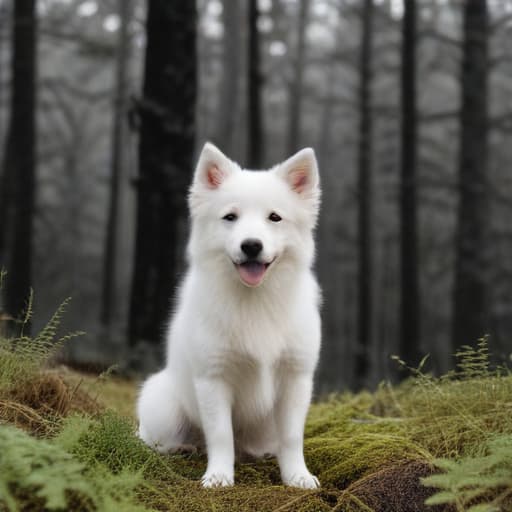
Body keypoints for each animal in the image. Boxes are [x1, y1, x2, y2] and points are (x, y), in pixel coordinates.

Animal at [136, 143, 320, 488]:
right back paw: (182, 447)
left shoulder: (295, 378)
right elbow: (220, 435)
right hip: (164, 407)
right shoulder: (214, 378)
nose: (251, 246)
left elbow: (292, 437)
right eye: (230, 217)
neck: (254, 300)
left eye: (274, 217)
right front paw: (219, 476)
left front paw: (297, 477)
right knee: (154, 440)